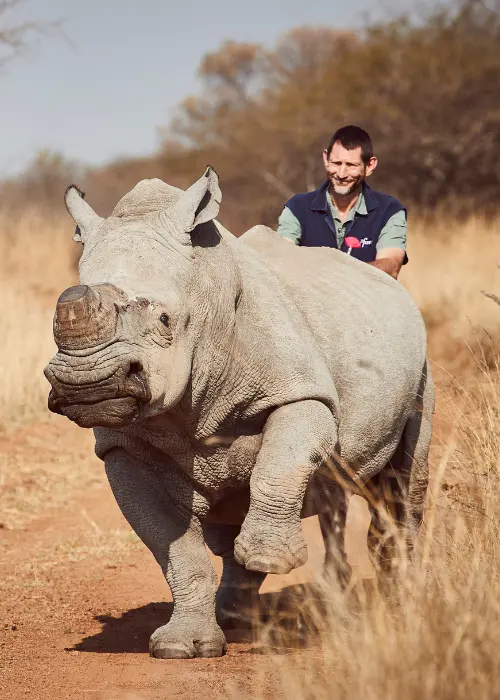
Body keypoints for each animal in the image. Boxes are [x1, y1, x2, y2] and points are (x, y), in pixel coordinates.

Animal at [44, 168, 433, 659]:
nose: (86, 383)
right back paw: (238, 616)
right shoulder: (121, 445)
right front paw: (181, 647)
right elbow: (175, 547)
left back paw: (399, 598)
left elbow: (280, 466)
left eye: (166, 320)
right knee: (243, 516)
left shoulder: (302, 394)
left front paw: (275, 558)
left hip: (420, 369)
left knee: (403, 483)